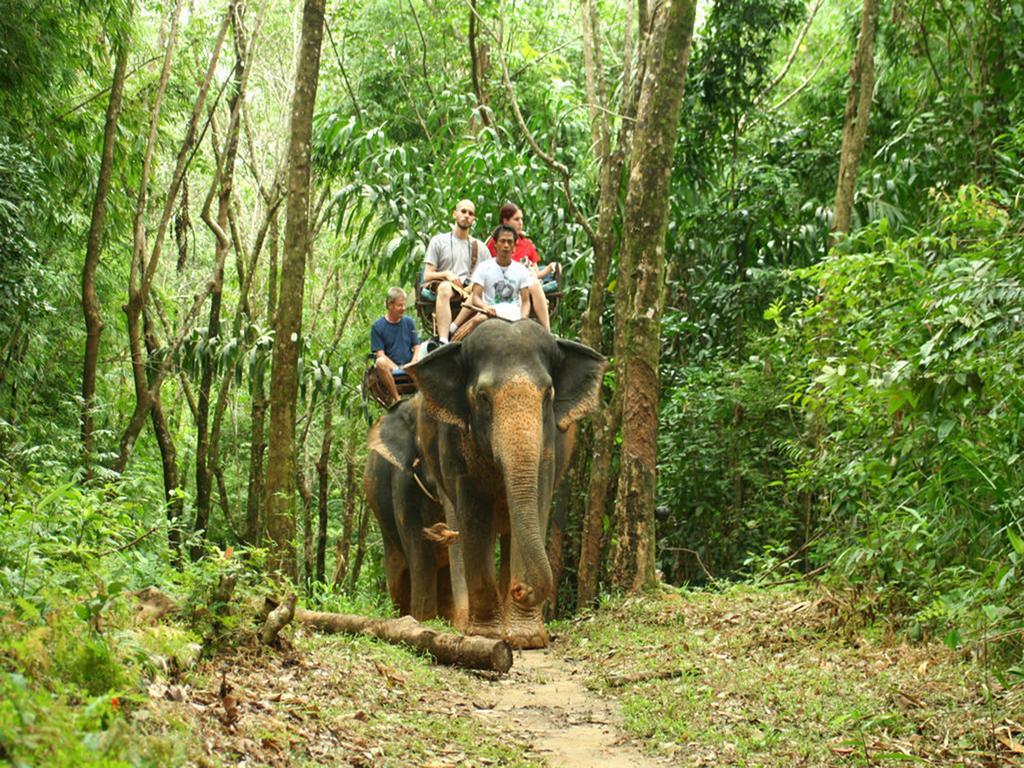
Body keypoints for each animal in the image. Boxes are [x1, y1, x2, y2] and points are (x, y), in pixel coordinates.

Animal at [401, 319, 606, 651]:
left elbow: (538, 505)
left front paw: (528, 639)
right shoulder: (455, 445)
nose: (521, 589)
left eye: (548, 395)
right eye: (483, 396)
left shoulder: (548, 448)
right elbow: (474, 517)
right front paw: (486, 635)